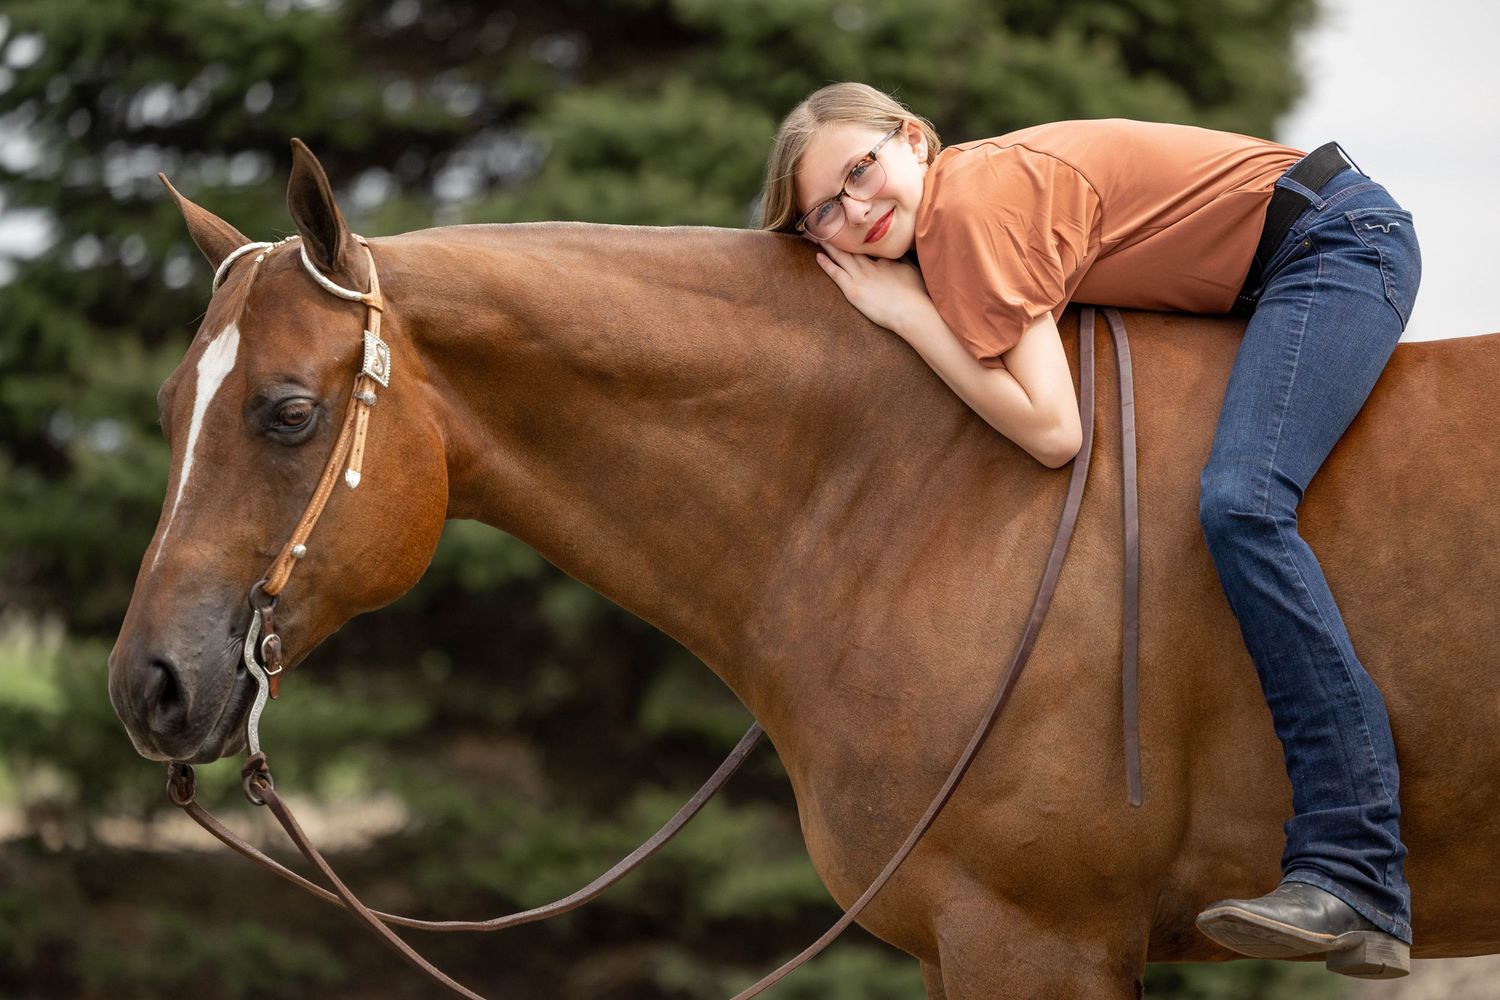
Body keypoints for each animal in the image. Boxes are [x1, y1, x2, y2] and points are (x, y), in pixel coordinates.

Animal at [108, 139, 1500, 999]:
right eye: (169, 403)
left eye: (289, 412)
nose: (148, 685)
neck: (913, 487)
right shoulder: (964, 941)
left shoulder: (1035, 938)